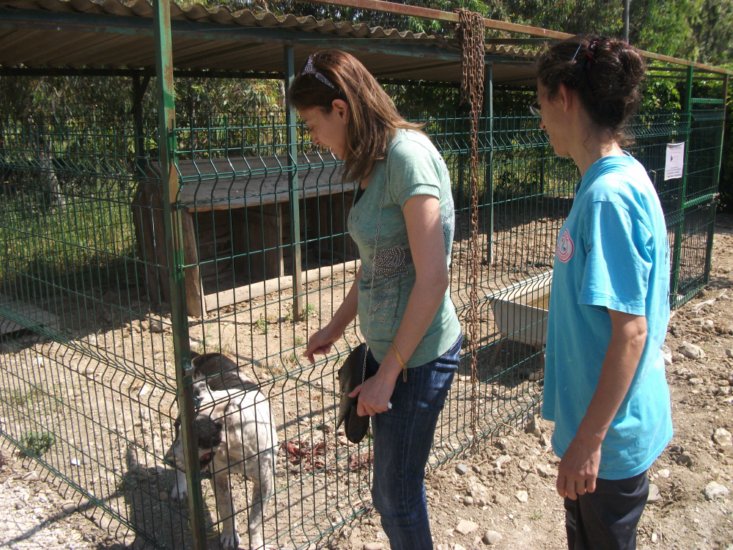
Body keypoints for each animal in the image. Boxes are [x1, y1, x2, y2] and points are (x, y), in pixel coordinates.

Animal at [164, 354, 278, 550]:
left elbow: (255, 520)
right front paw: (230, 534)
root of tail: (202, 355)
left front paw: (256, 543)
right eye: (178, 428)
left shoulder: (264, 482)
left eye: (196, 437)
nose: (168, 459)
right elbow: (226, 508)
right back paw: (180, 488)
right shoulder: (219, 478)